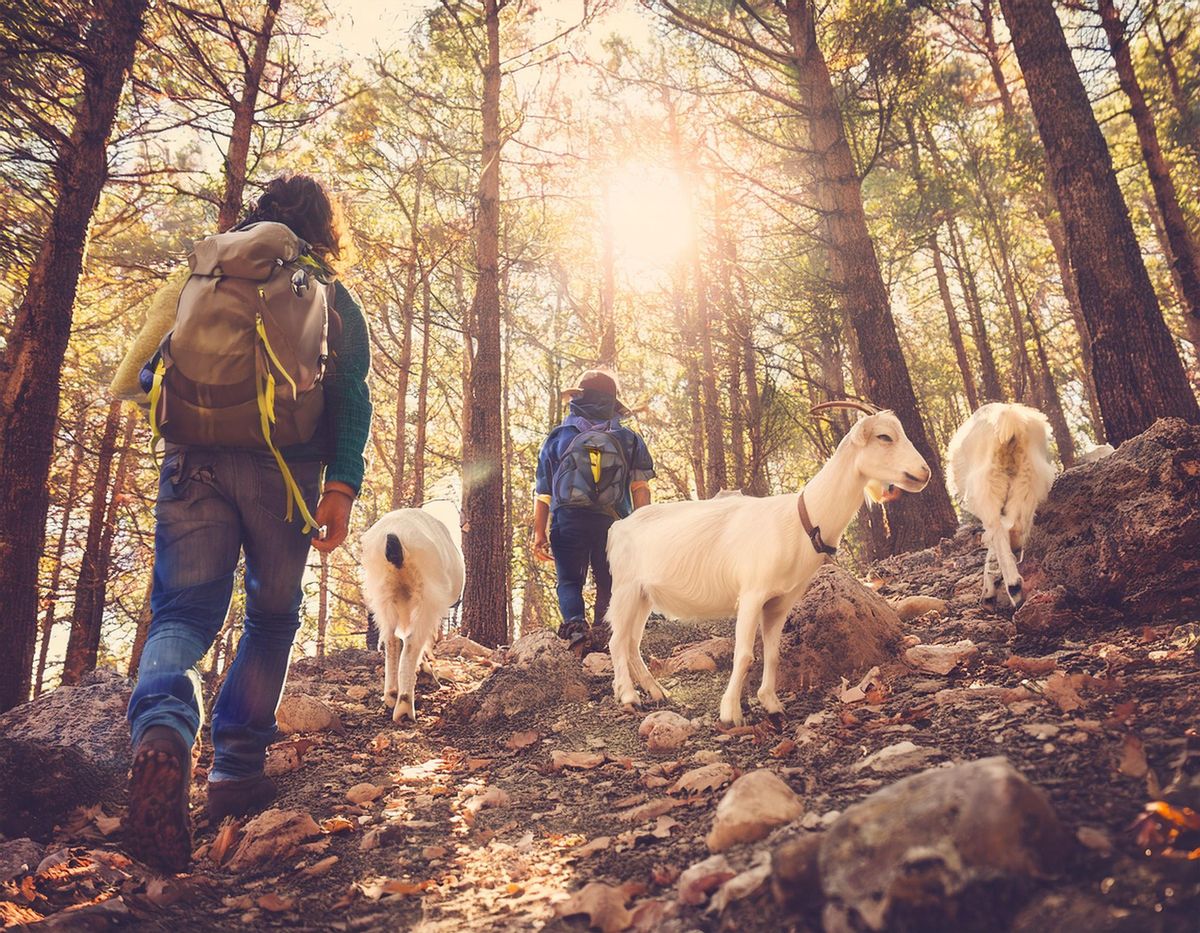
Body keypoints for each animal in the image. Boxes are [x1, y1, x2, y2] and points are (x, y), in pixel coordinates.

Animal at [357, 508, 460, 719]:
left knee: (391, 639)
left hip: (383, 593)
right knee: (413, 641)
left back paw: (391, 695)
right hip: (426, 593)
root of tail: (396, 537)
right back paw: (404, 706)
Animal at [604, 395, 931, 724]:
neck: (801, 520)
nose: (924, 473)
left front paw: (771, 703)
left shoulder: (780, 602)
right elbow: (745, 654)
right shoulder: (752, 593)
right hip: (625, 589)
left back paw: (656, 692)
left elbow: (772, 653)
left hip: (644, 596)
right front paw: (730, 712)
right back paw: (630, 697)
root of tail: (618, 527)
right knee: (617, 641)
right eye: (884, 437)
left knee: (632, 643)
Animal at [945, 400, 1060, 611]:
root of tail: (1010, 425)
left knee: (999, 531)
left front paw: (988, 592)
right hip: (1027, 482)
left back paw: (1013, 588)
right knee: (1015, 527)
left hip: (987, 489)